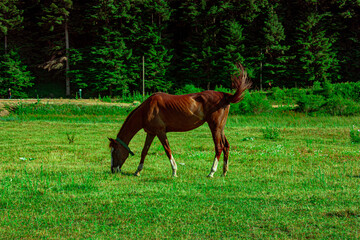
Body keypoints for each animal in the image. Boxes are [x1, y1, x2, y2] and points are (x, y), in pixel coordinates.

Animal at [108, 62, 252, 177]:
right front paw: (137, 171)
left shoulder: (160, 132)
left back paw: (211, 172)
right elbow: (144, 151)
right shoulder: (151, 133)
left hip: (215, 127)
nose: (113, 170)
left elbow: (167, 150)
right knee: (226, 146)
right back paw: (224, 172)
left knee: (219, 147)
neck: (147, 109)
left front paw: (174, 172)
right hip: (221, 128)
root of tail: (225, 96)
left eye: (114, 152)